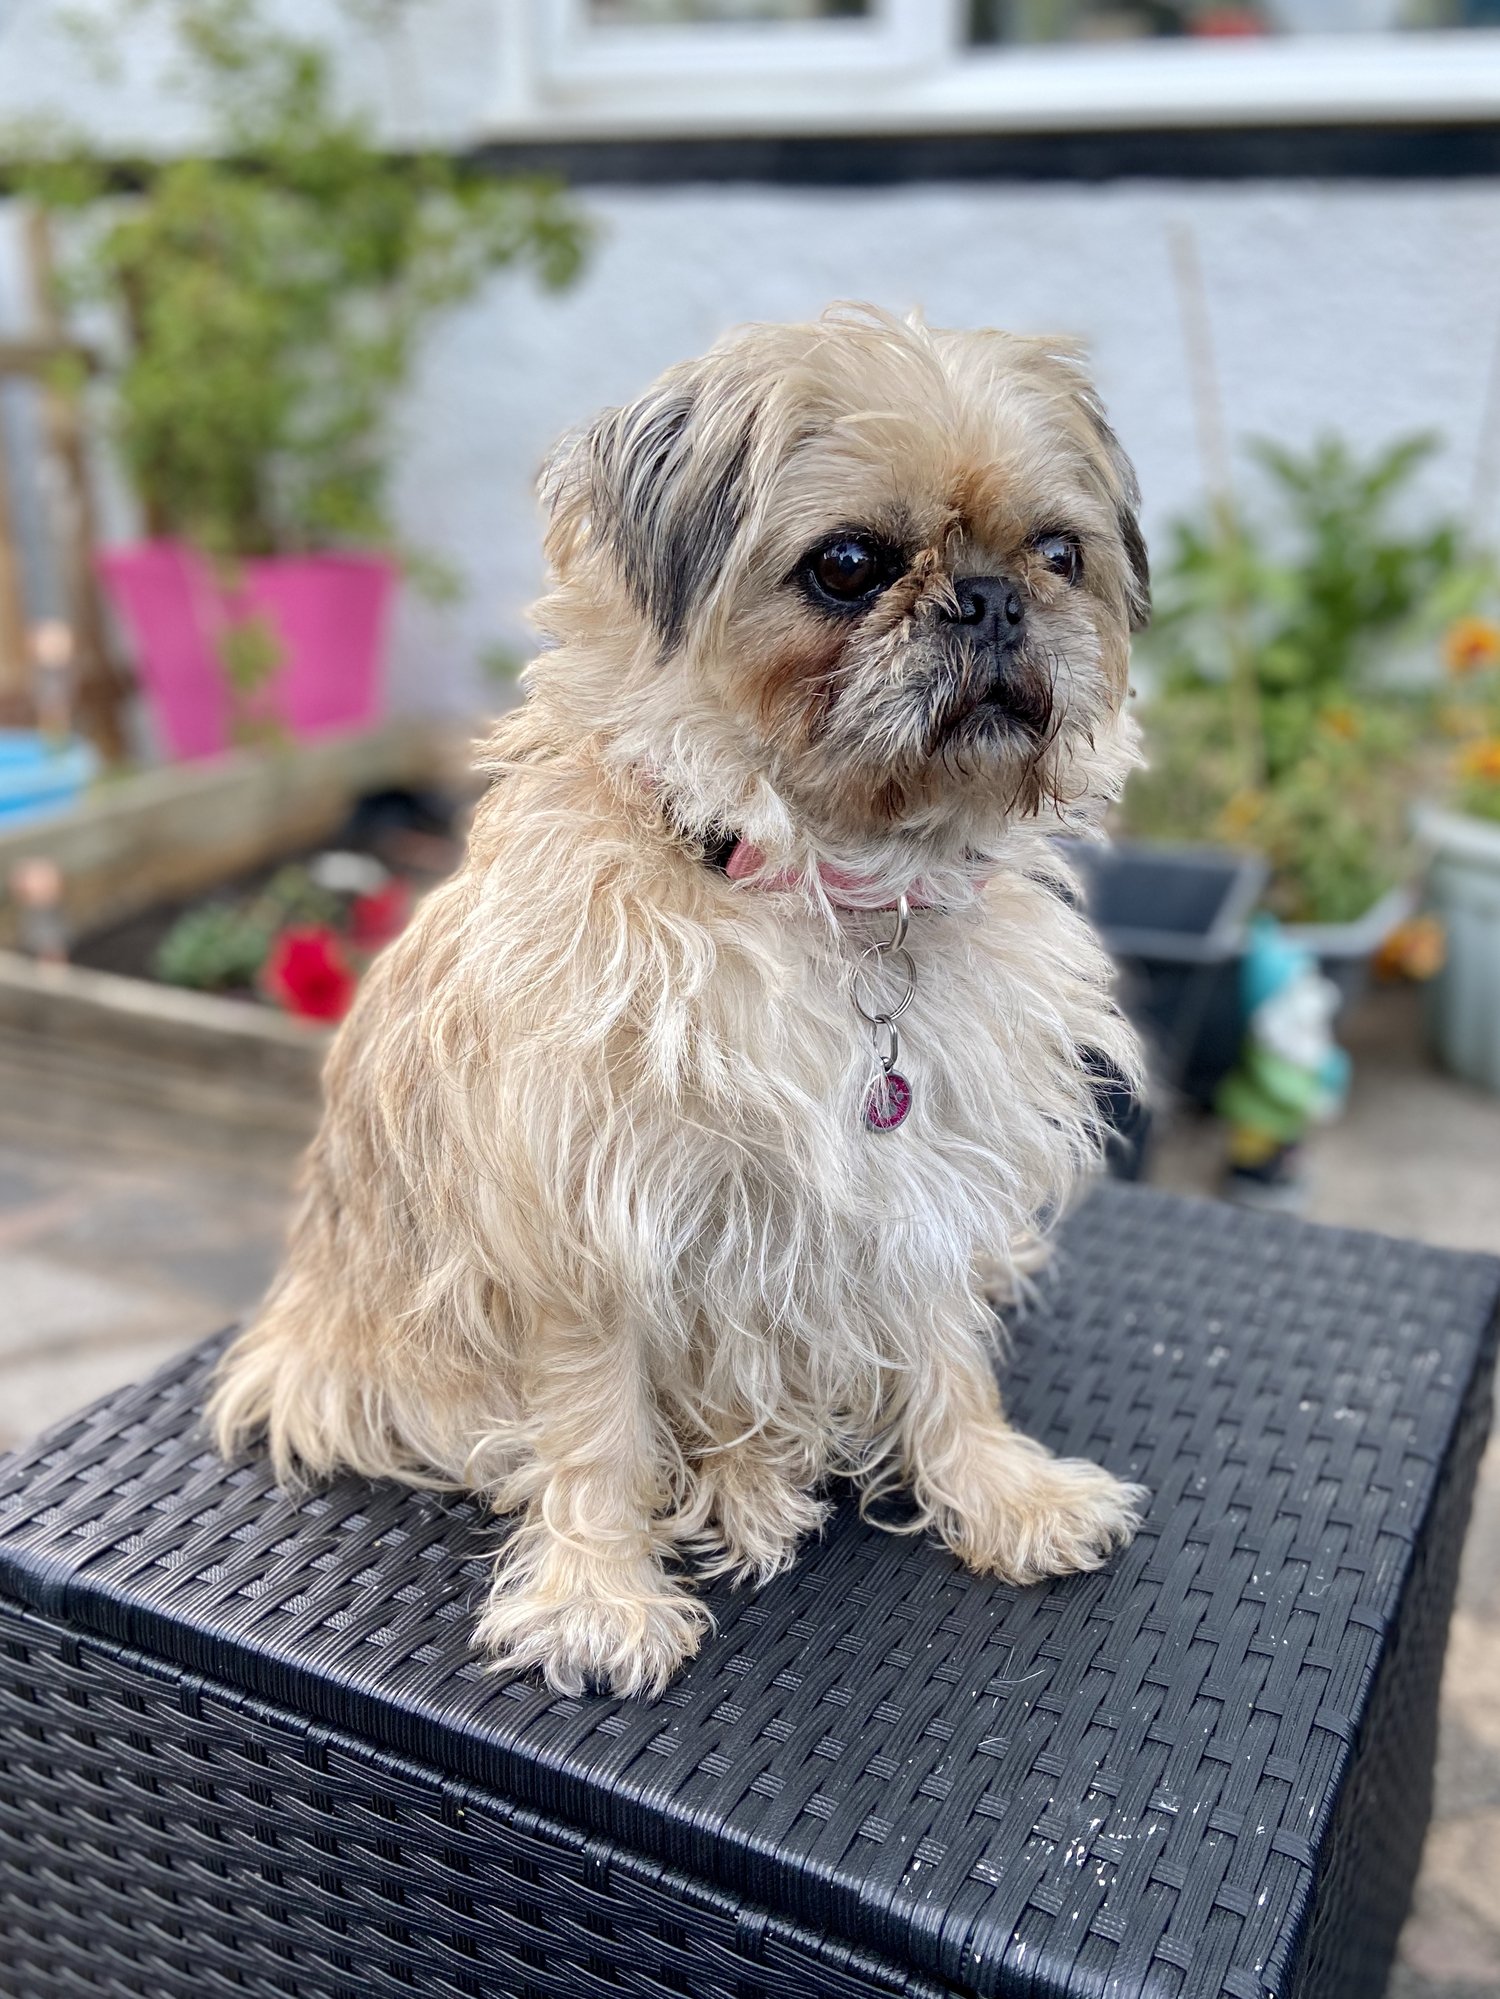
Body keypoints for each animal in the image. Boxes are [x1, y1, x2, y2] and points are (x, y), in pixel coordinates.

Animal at [212, 303, 1152, 1695]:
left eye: (1058, 552)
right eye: (849, 564)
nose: (990, 599)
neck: (828, 893)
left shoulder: (926, 1178)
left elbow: (946, 1358)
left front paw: (998, 1489)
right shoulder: (585, 1222)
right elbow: (596, 1421)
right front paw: (597, 1595)